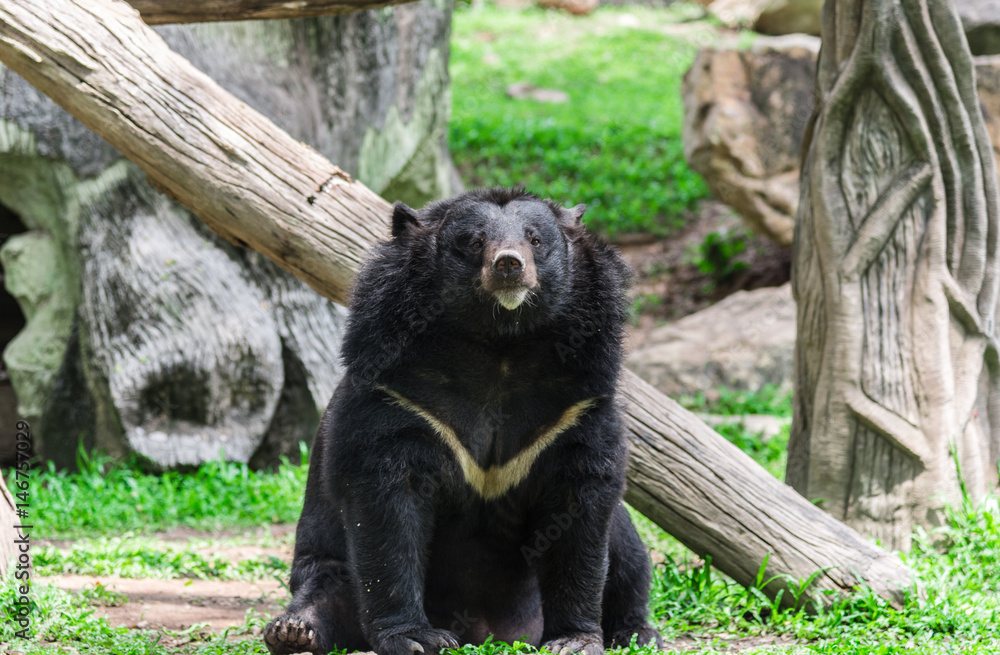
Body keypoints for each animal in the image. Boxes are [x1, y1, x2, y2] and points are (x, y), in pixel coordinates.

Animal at [264, 186, 664, 655]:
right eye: (474, 242)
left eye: (535, 239)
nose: (508, 264)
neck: (499, 343)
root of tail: (494, 631)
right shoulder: (398, 397)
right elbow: (387, 512)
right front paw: (415, 637)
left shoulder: (576, 407)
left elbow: (580, 509)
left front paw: (574, 640)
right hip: (326, 555)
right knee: (326, 585)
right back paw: (294, 631)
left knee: (628, 552)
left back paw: (636, 631)